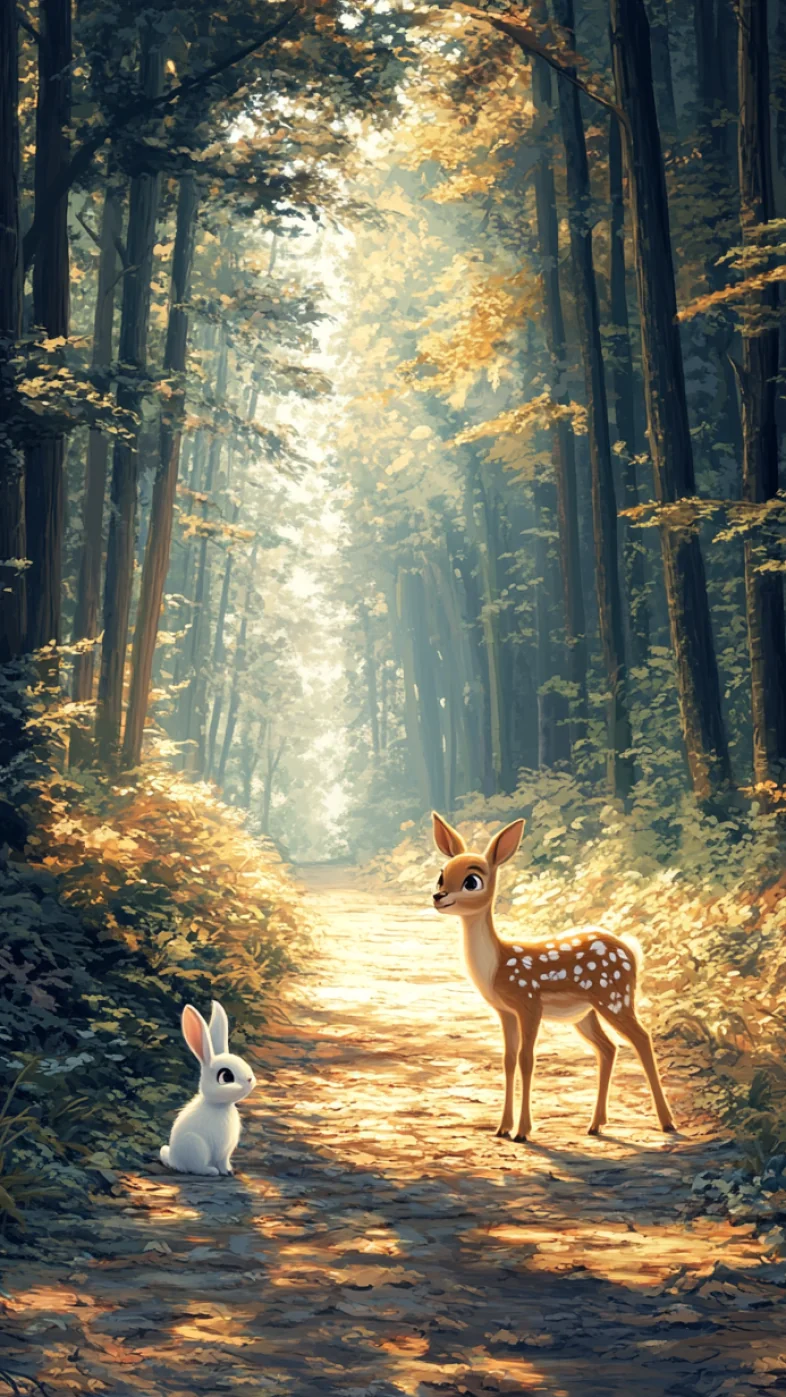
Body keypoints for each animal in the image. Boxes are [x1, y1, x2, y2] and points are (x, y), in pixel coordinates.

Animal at [159, 1000, 257, 1176]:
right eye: (226, 1076)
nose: (250, 1079)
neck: (220, 1106)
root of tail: (173, 1159)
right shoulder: (219, 1149)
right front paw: (223, 1172)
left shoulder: (226, 1152)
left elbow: (224, 1162)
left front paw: (229, 1171)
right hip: (196, 1146)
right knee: (195, 1167)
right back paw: (210, 1171)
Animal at [431, 811, 675, 1141]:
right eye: (441, 875)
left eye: (472, 881)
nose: (438, 896)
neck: (498, 963)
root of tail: (631, 950)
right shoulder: (505, 1012)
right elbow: (508, 1060)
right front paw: (502, 1128)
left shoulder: (529, 1002)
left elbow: (527, 1059)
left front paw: (522, 1131)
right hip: (586, 1014)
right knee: (608, 1048)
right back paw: (595, 1124)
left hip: (615, 997)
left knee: (641, 1038)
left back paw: (667, 1122)